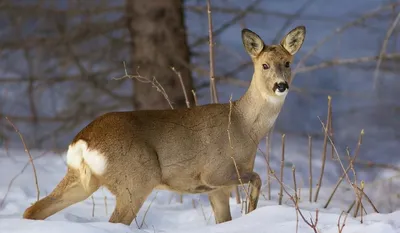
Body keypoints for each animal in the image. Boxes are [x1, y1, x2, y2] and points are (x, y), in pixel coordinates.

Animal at [22, 25, 306, 226]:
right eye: (264, 65)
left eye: (288, 63)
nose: (281, 85)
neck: (243, 126)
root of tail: (83, 140)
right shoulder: (215, 172)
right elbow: (257, 178)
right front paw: (252, 211)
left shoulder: (217, 189)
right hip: (136, 179)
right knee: (115, 221)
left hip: (82, 180)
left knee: (34, 209)